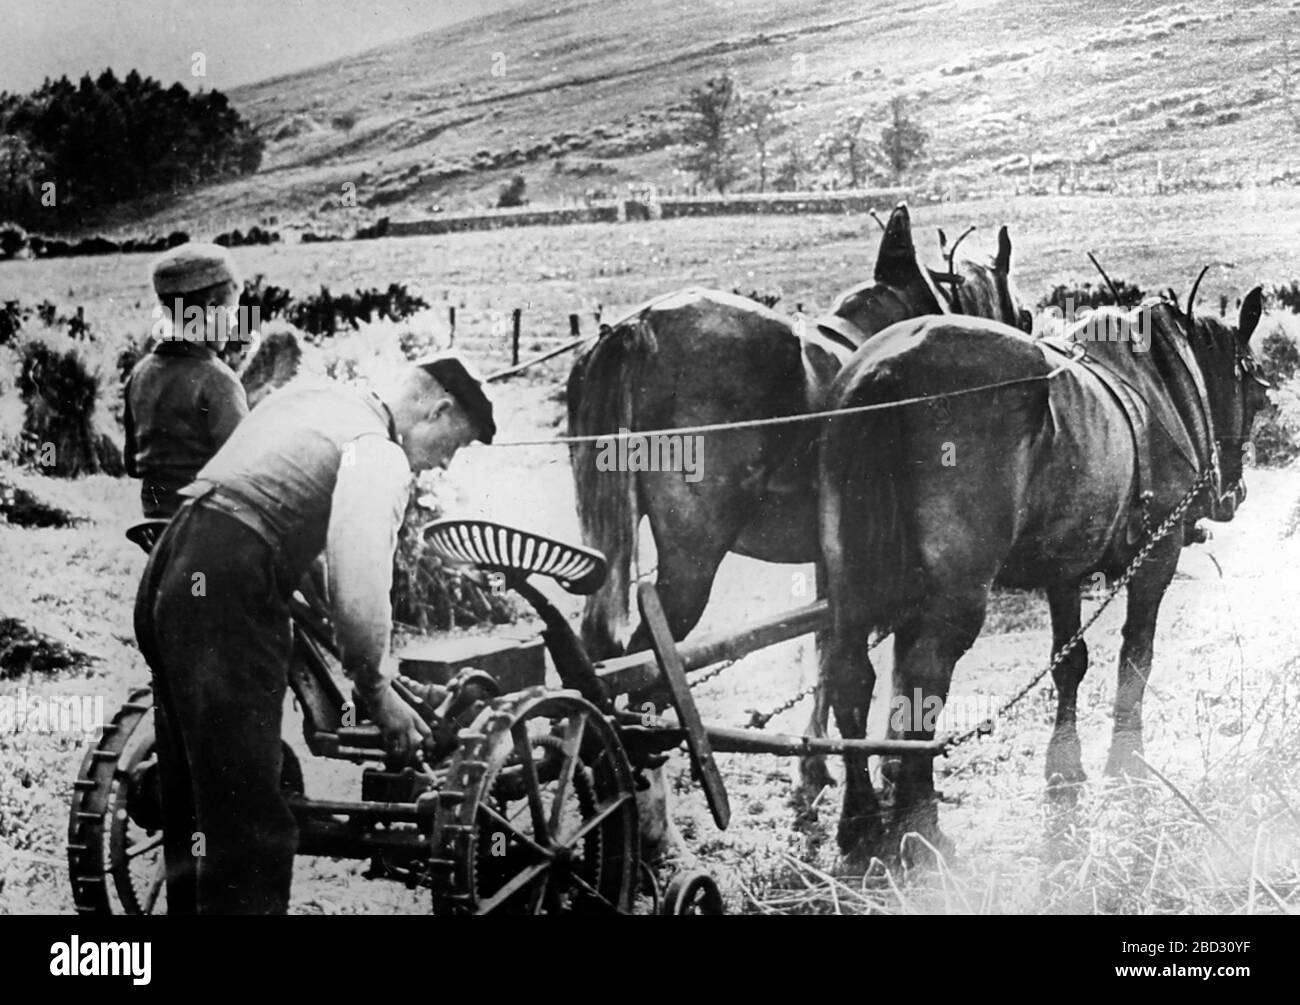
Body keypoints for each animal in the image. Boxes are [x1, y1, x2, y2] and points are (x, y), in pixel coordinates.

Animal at [816, 286, 1263, 858]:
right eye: (1256, 389)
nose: (1233, 493)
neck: (1162, 383)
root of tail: (885, 370)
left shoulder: (1065, 570)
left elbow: (1069, 664)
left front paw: (1064, 769)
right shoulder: (1156, 558)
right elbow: (1136, 657)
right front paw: (1126, 762)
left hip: (850, 582)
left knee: (848, 673)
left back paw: (861, 821)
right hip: (955, 598)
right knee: (924, 676)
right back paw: (921, 824)